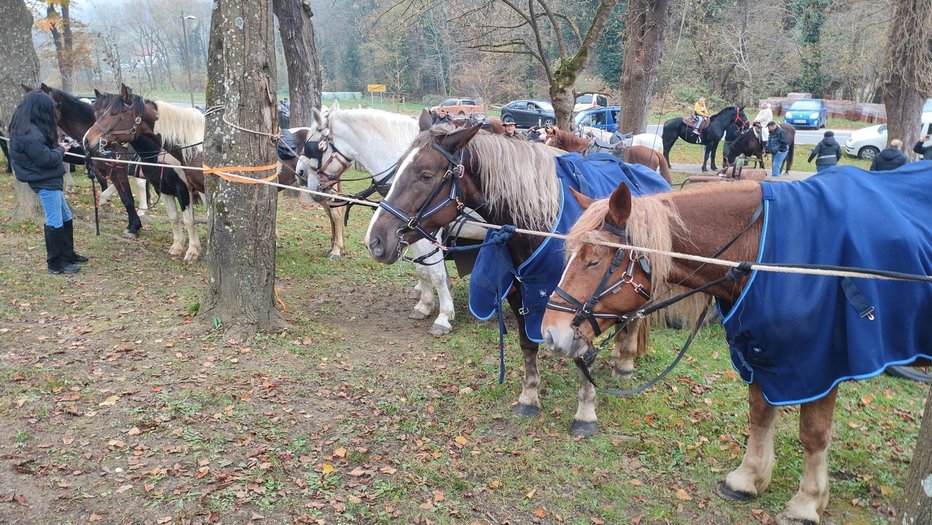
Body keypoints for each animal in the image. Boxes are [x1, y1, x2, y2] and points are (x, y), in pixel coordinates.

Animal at [31, 83, 148, 235]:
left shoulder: (119, 170)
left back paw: (143, 209)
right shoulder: (97, 166)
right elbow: (104, 183)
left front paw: (133, 225)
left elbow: (126, 197)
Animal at [83, 83, 206, 260]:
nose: (87, 140)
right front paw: (177, 246)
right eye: (96, 113)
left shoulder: (183, 189)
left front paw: (192, 250)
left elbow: (189, 220)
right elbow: (174, 217)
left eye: (115, 114)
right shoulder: (163, 189)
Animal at [296, 100, 480, 334]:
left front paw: (444, 315)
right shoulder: (407, 233)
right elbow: (422, 269)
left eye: (312, 145)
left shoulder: (427, 234)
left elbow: (436, 273)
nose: (300, 174)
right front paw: (424, 303)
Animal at [360, 124, 672, 434]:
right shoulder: (520, 293)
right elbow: (527, 345)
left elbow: (583, 354)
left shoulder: (578, 304)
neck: (540, 225)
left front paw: (585, 412)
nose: (375, 240)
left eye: (425, 175)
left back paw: (625, 363)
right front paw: (529, 397)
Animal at [540, 169, 932, 524]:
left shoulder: (821, 366)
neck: (764, 254)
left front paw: (806, 503)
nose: (550, 333)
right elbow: (759, 415)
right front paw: (747, 479)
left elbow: (813, 435)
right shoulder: (755, 349)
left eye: (594, 259)